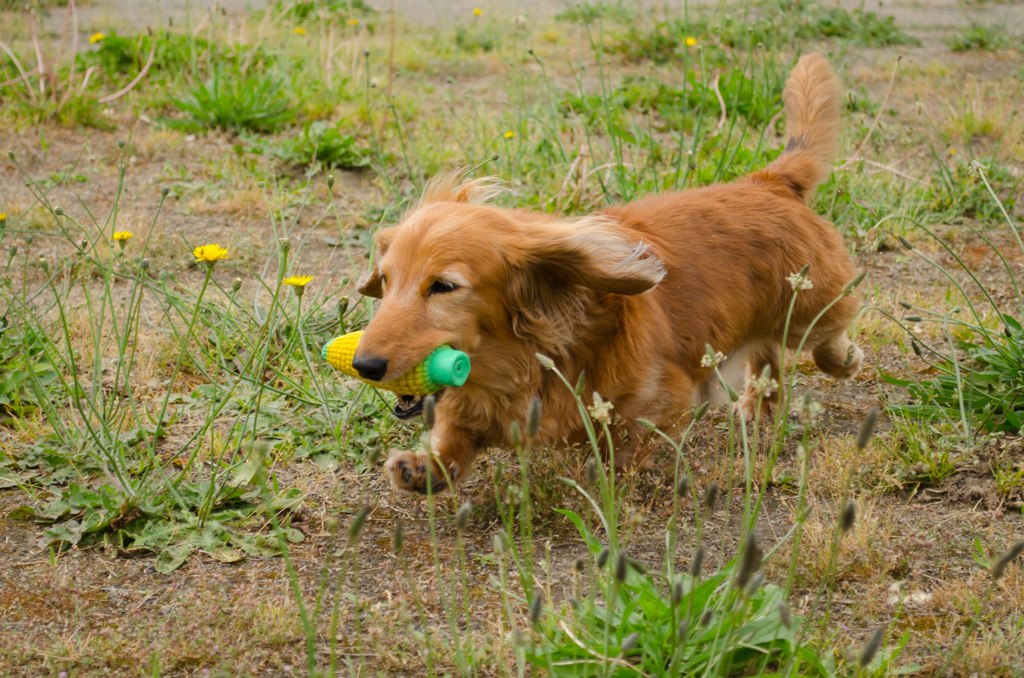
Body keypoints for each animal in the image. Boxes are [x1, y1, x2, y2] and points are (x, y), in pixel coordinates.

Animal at [348, 53, 860, 493]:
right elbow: (453, 441)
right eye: (386, 280)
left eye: (444, 286)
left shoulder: (664, 397)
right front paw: (423, 468)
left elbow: (629, 445)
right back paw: (760, 402)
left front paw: (606, 478)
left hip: (811, 309)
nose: (364, 365)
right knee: (768, 352)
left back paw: (842, 359)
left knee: (825, 336)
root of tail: (769, 182)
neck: (528, 359)